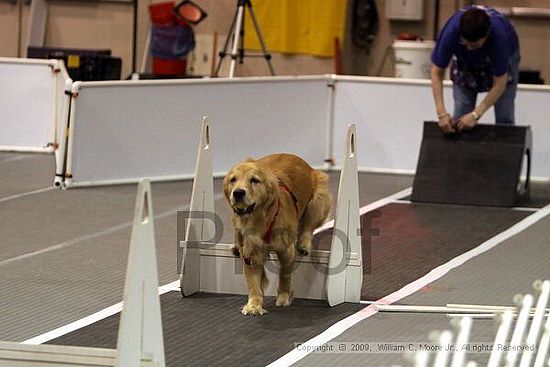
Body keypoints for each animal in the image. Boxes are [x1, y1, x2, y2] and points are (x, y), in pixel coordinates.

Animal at [223, 153, 332, 316]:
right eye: (233, 179)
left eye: (254, 180)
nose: (238, 193)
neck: (260, 220)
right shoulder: (250, 253)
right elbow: (253, 282)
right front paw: (254, 305)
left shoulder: (286, 250)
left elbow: (284, 274)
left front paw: (284, 296)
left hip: (318, 201)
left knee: (308, 227)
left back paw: (304, 244)